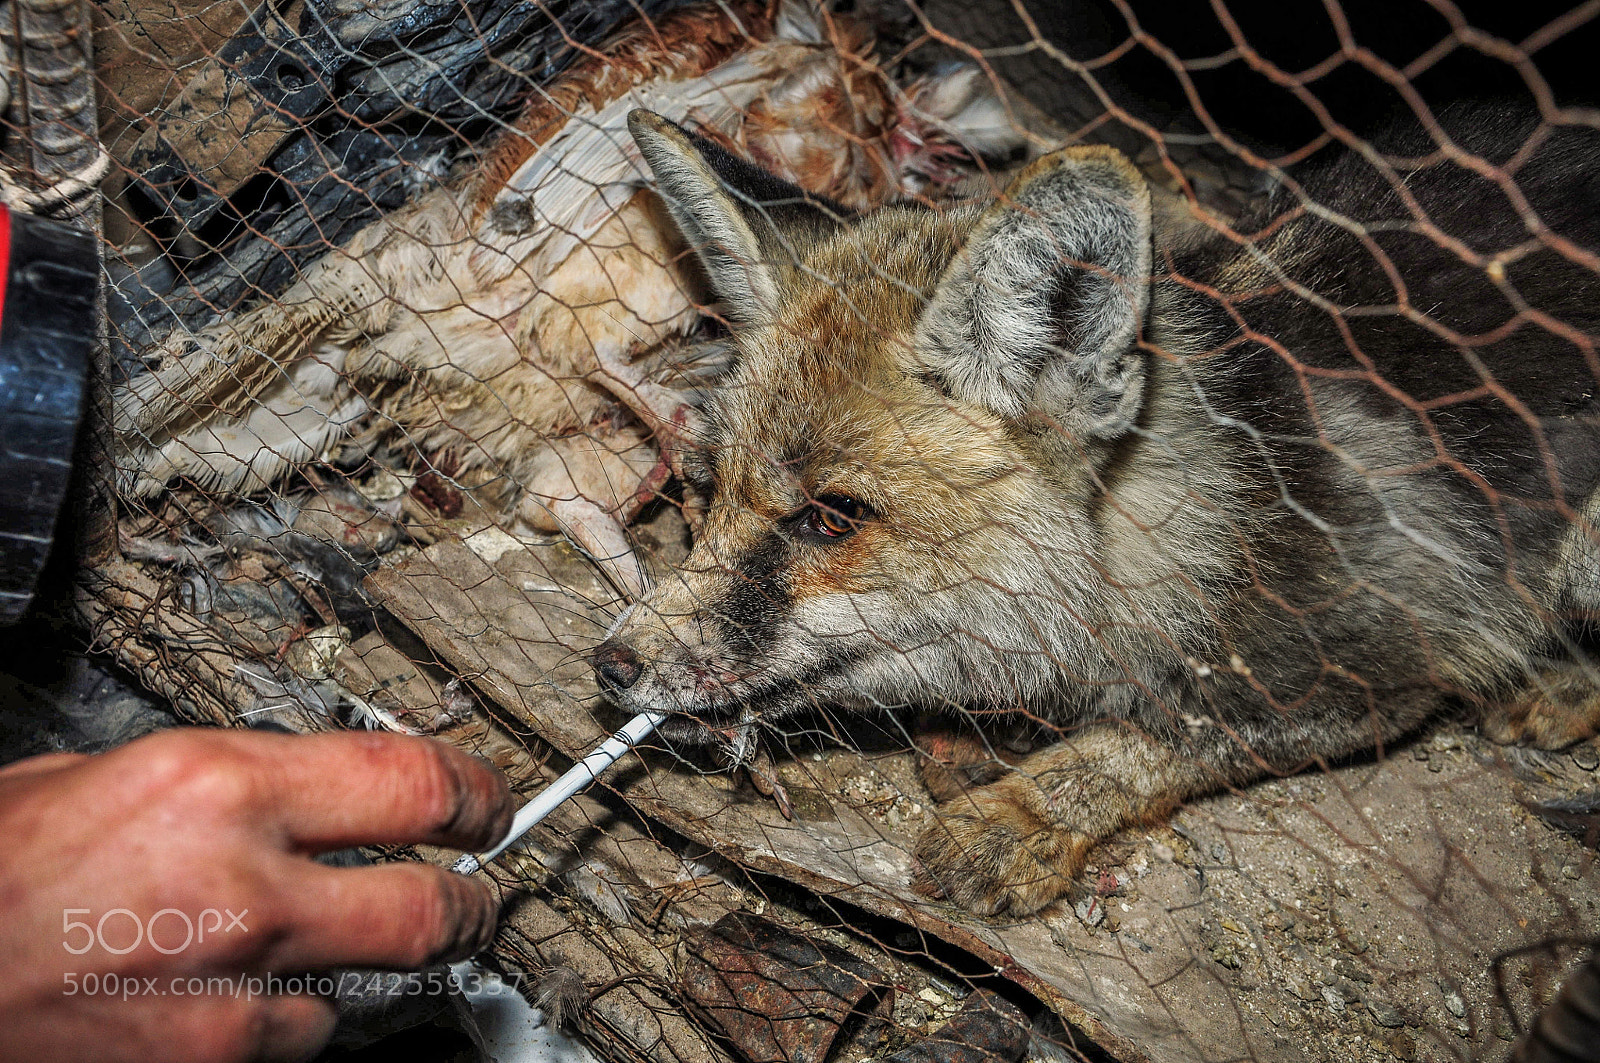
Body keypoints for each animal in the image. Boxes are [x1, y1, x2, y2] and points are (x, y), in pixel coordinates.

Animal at [591, 105, 1600, 917]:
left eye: (831, 516)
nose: (609, 664)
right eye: (710, 489)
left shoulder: (1372, 673)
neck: (1227, 521)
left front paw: (1022, 811)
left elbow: (1159, 736)